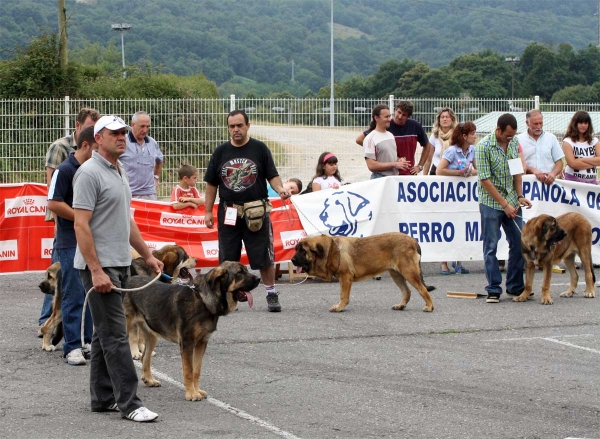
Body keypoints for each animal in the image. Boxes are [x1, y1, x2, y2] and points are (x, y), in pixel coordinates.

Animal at [124, 262, 260, 402]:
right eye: (239, 273)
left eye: (246, 270)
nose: (259, 279)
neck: (202, 299)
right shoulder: (187, 343)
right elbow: (188, 370)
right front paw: (191, 394)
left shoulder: (201, 343)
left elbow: (196, 370)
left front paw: (197, 390)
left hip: (152, 335)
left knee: (145, 357)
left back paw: (149, 380)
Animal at [292, 234, 436, 312]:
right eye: (296, 249)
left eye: (303, 251)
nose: (292, 260)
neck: (332, 250)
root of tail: (414, 241)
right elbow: (342, 294)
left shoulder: (345, 278)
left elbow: (343, 295)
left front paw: (340, 307)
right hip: (396, 274)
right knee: (407, 291)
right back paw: (401, 305)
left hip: (409, 272)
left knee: (423, 290)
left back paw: (429, 306)